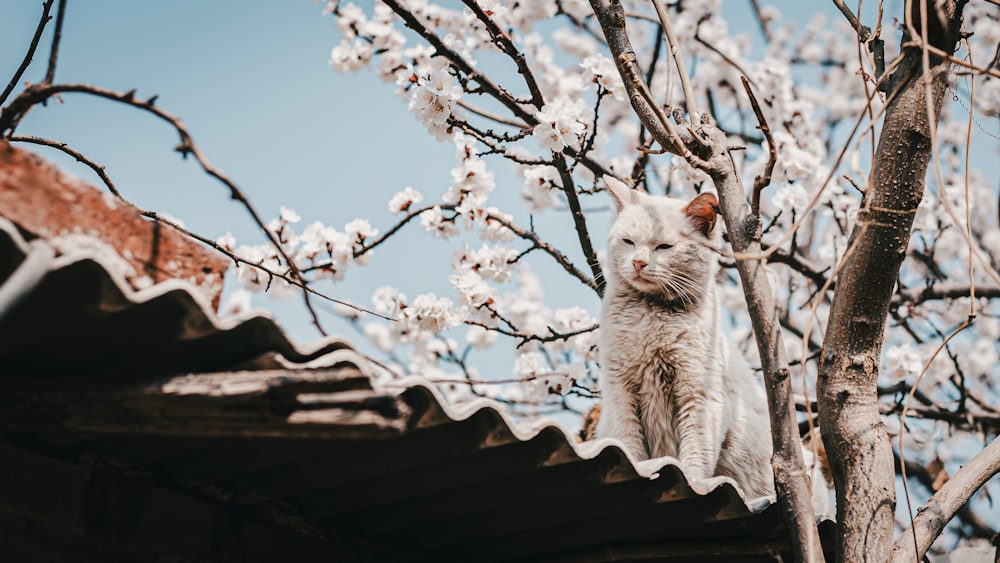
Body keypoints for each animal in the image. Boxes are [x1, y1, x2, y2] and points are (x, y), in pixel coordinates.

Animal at [592, 177, 828, 516]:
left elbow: (695, 460)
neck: (651, 318)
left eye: (664, 247)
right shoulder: (620, 394)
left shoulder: (701, 398)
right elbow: (632, 452)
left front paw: (692, 486)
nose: (638, 262)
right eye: (628, 241)